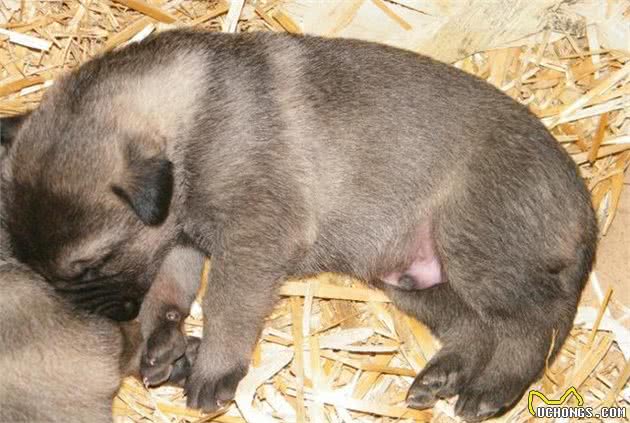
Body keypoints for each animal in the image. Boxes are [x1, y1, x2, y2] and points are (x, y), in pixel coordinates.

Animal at [0, 29, 596, 420]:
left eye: (91, 263)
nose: (96, 319)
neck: (194, 116)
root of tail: (582, 202)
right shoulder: (185, 232)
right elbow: (171, 281)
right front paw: (159, 336)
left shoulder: (253, 235)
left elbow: (228, 304)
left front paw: (213, 366)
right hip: (411, 281)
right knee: (474, 327)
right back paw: (443, 374)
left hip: (474, 247)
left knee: (531, 324)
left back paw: (492, 387)